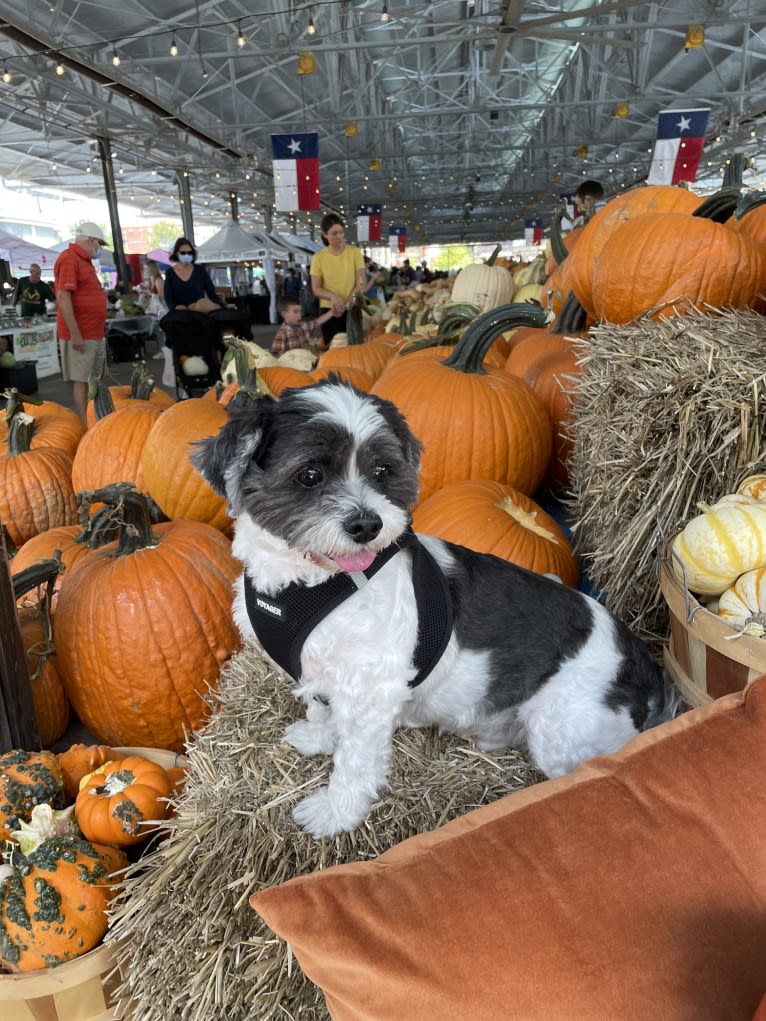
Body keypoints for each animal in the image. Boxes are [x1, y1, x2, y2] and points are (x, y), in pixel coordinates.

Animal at [195, 379, 682, 833]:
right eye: (310, 474)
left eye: (381, 470)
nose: (366, 524)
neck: (309, 583)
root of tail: (645, 670)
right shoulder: (318, 669)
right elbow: (321, 707)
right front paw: (318, 736)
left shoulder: (371, 688)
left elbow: (355, 762)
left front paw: (336, 813)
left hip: (559, 725)